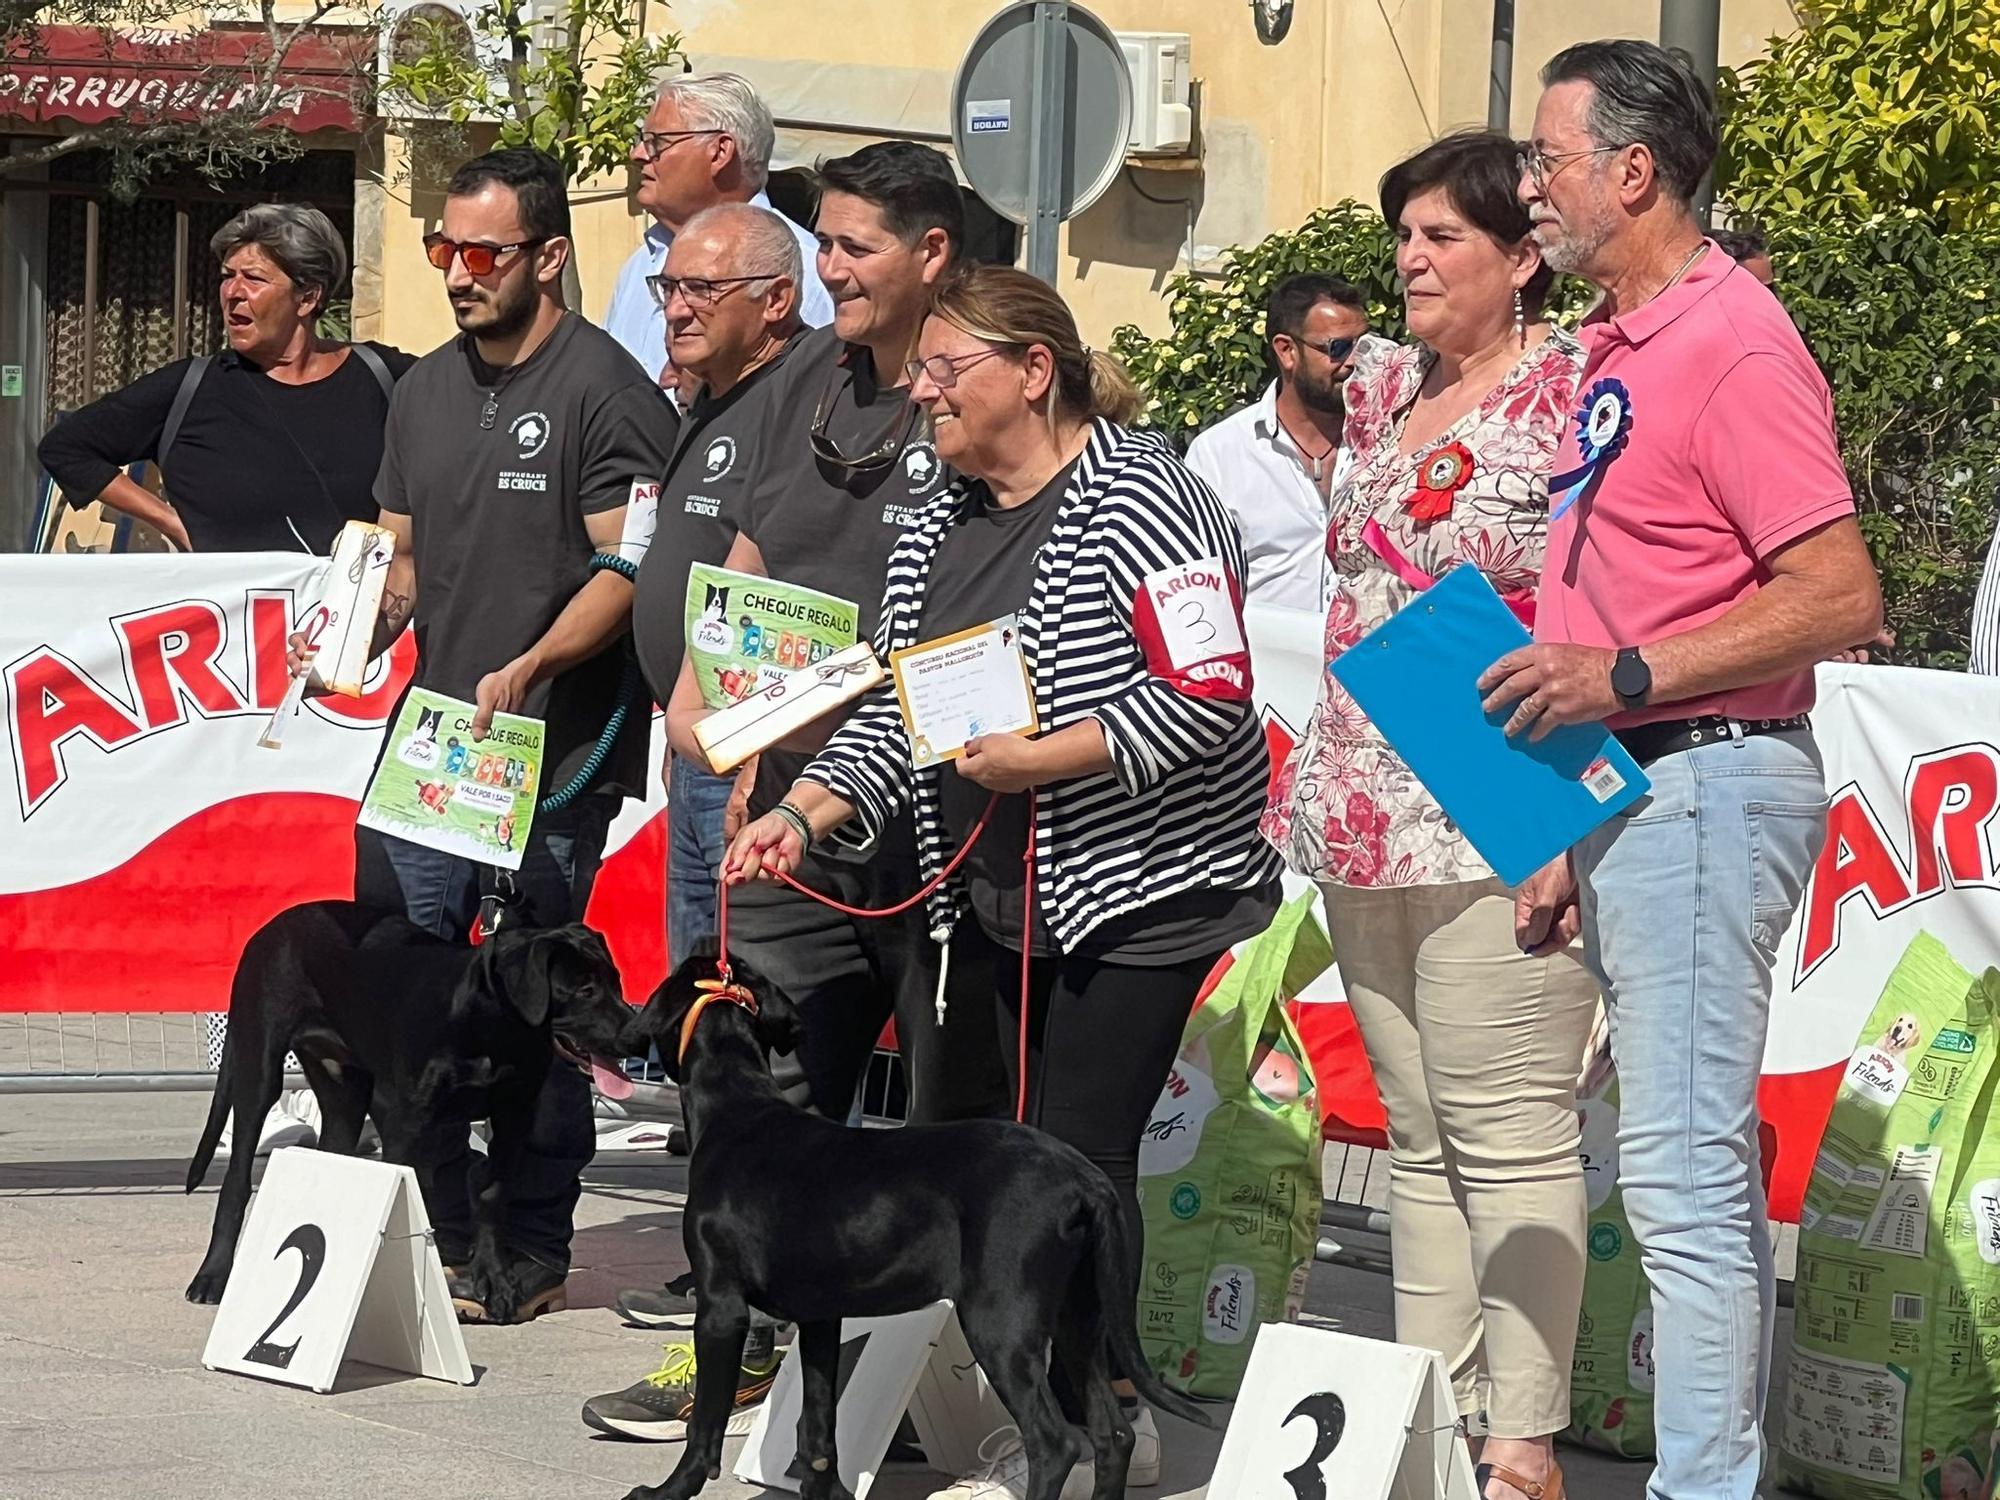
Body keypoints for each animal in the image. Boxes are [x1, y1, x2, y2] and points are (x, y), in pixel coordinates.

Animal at [186, 900, 632, 1320]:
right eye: (584, 989)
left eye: (616, 981)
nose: (636, 1034)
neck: (490, 1028)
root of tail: (277, 922)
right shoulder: (407, 1124)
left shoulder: (513, 1116)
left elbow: (490, 1194)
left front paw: (496, 1281)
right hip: (259, 1066)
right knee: (237, 1178)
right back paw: (212, 1276)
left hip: (345, 1091)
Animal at [620, 944, 1200, 1500]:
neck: (736, 1107)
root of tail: (1084, 1177)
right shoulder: (821, 1317)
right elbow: (819, 1428)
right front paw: (826, 1490)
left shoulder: (721, 1308)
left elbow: (706, 1425)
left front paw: (669, 1490)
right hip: (1080, 1316)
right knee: (1112, 1434)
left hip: (1001, 1321)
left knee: (1054, 1443)